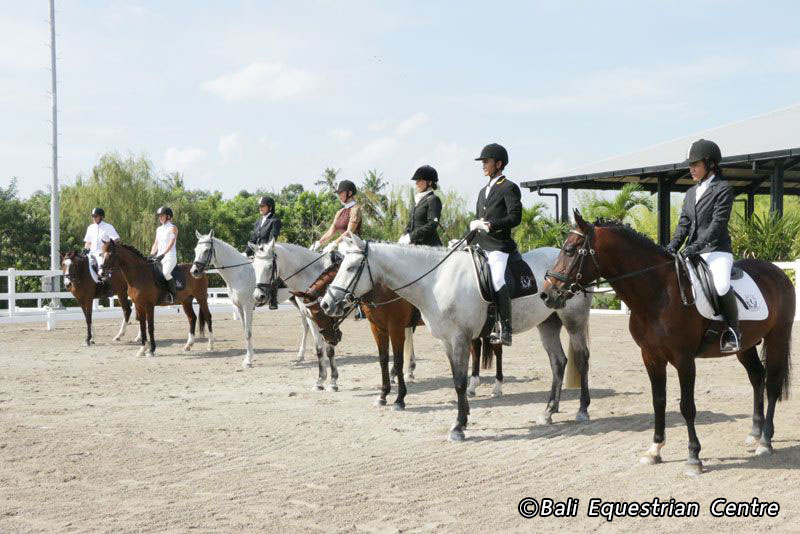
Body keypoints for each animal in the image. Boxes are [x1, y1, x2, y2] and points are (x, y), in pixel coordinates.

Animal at [248, 243, 340, 394]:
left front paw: (333, 382)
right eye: (254, 266)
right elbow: (320, 349)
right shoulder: (313, 319)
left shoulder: (330, 319)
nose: (258, 296)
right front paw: (320, 381)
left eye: (269, 267)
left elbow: (330, 350)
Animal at [296, 264, 504, 410]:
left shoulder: (395, 327)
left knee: (497, 350)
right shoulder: (377, 328)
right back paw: (473, 385)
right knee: (476, 349)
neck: (380, 287)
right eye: (313, 314)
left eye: (320, 312)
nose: (331, 338)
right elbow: (383, 359)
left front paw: (399, 398)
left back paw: (496, 387)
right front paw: (383, 395)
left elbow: (397, 359)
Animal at [320, 237, 592, 442]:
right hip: (548, 324)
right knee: (558, 362)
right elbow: (453, 378)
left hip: (574, 323)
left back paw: (582, 410)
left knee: (582, 360)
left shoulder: (456, 337)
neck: (436, 281)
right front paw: (465, 415)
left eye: (351, 268)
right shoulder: (445, 341)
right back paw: (549, 411)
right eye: (340, 267)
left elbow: (459, 382)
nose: (326, 303)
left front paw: (458, 427)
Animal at [540, 210, 792, 478]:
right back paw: (755, 433)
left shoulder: (684, 359)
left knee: (772, 384)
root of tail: (777, 272)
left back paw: (765, 441)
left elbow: (687, 406)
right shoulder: (651, 357)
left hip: (778, 337)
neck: (657, 294)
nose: (546, 294)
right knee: (757, 376)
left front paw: (693, 457)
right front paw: (654, 450)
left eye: (570, 250)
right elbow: (658, 401)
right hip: (745, 346)